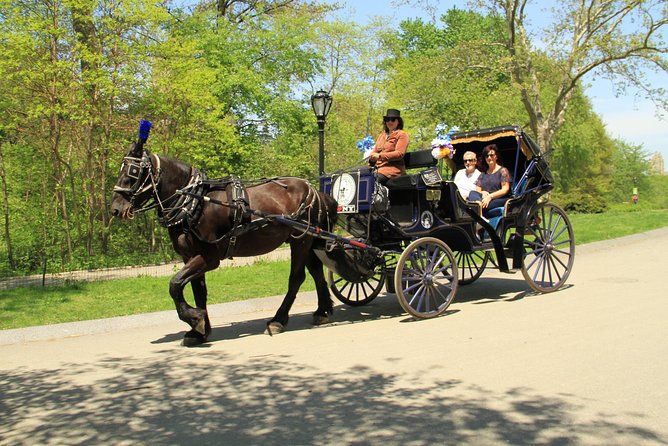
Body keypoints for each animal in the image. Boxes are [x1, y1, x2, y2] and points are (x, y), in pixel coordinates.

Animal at [112, 123, 340, 346]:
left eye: (133, 171)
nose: (116, 209)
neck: (194, 203)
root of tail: (314, 190)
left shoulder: (209, 257)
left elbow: (175, 284)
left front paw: (194, 318)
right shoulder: (189, 256)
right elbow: (198, 291)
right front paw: (200, 330)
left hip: (301, 240)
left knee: (297, 277)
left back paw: (278, 320)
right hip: (305, 239)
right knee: (316, 270)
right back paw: (322, 311)